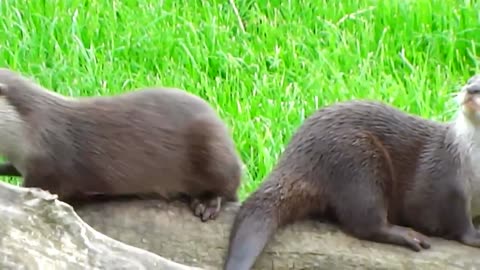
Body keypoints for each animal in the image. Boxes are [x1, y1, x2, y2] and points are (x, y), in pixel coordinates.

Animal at [223, 75, 480, 268]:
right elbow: (456, 221)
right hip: (357, 161)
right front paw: (475, 236)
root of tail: (295, 156)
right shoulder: (447, 181)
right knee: (364, 223)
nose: (471, 88)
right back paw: (407, 235)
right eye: (469, 79)